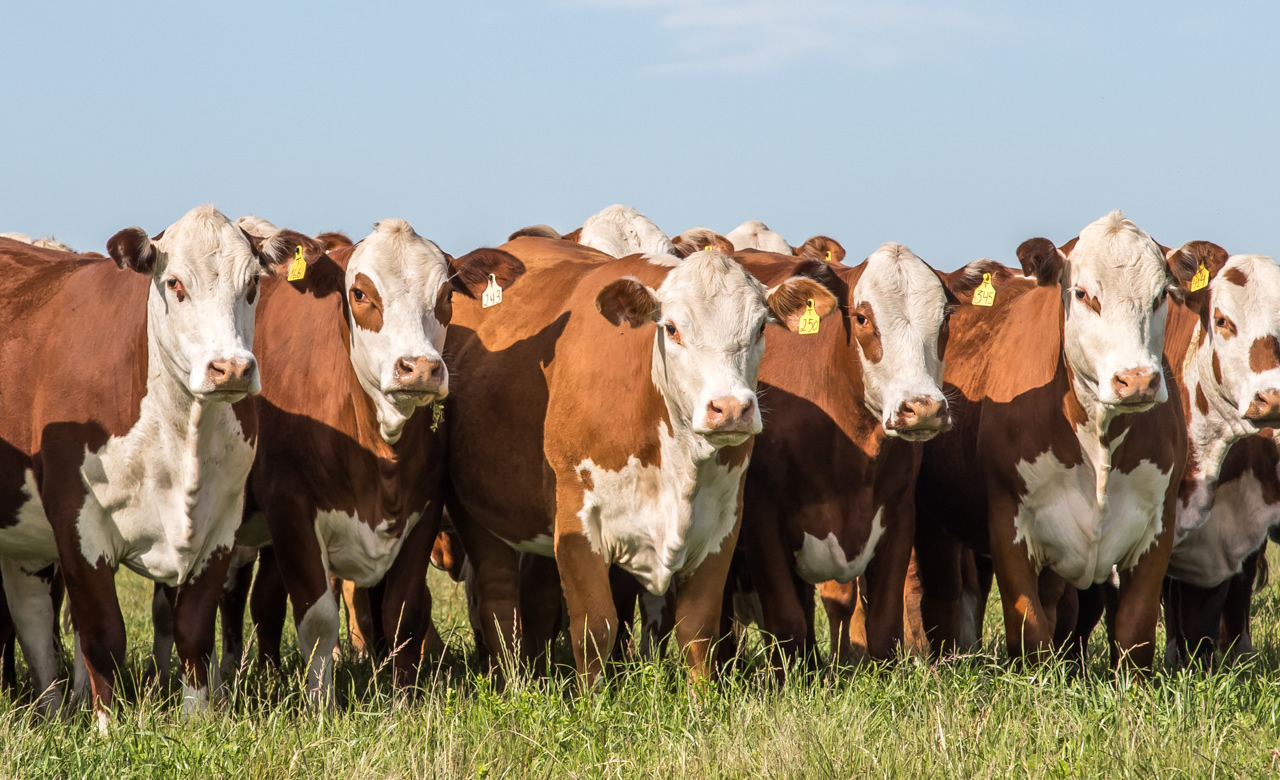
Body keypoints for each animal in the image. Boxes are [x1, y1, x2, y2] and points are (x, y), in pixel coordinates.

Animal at [0, 204, 314, 717]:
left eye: (252, 284)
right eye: (175, 283)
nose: (232, 368)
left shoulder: (220, 526)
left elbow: (194, 633)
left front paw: (197, 718)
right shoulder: (77, 522)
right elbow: (103, 637)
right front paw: (106, 724)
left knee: (32, 620)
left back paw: (53, 710)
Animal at [232, 216, 522, 696]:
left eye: (446, 296)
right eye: (360, 294)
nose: (419, 368)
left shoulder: (423, 510)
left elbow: (403, 614)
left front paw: (403, 700)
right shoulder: (291, 511)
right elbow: (317, 620)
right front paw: (321, 705)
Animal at [445, 236, 834, 681]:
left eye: (760, 328)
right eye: (672, 328)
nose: (732, 408)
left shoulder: (722, 525)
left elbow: (699, 629)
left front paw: (702, 697)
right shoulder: (577, 520)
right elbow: (595, 627)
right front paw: (592, 698)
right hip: (475, 513)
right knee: (497, 599)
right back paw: (510, 680)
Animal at [727, 243, 957, 660]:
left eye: (946, 317)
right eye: (863, 317)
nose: (923, 408)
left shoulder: (899, 514)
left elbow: (884, 624)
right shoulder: (761, 519)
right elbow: (786, 621)